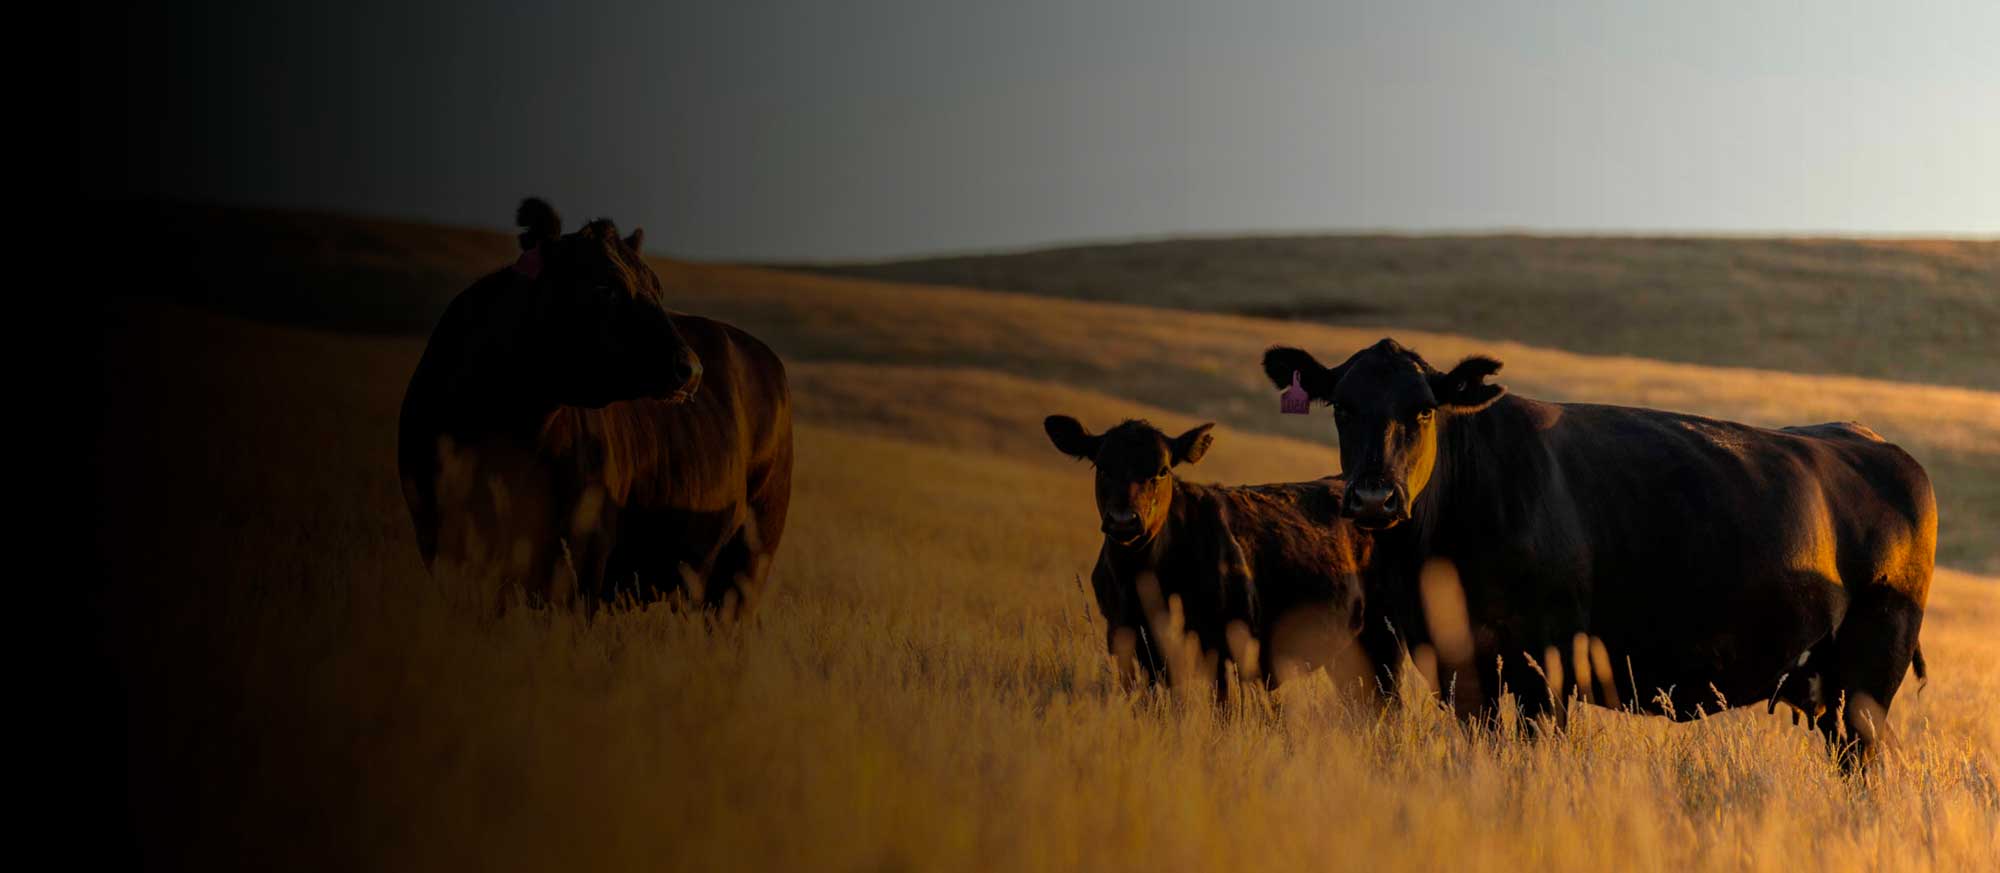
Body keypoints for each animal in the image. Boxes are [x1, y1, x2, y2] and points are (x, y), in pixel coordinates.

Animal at [396, 201, 788, 616]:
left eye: (658, 289)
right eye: (604, 287)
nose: (691, 369)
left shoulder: (579, 567)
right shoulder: (448, 553)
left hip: (748, 561)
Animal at [1264, 338, 1936, 768]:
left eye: (1424, 409)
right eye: (1342, 407)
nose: (1374, 497)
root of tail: (1868, 439)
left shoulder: (1547, 662)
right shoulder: (1454, 664)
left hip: (1874, 668)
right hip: (1829, 683)